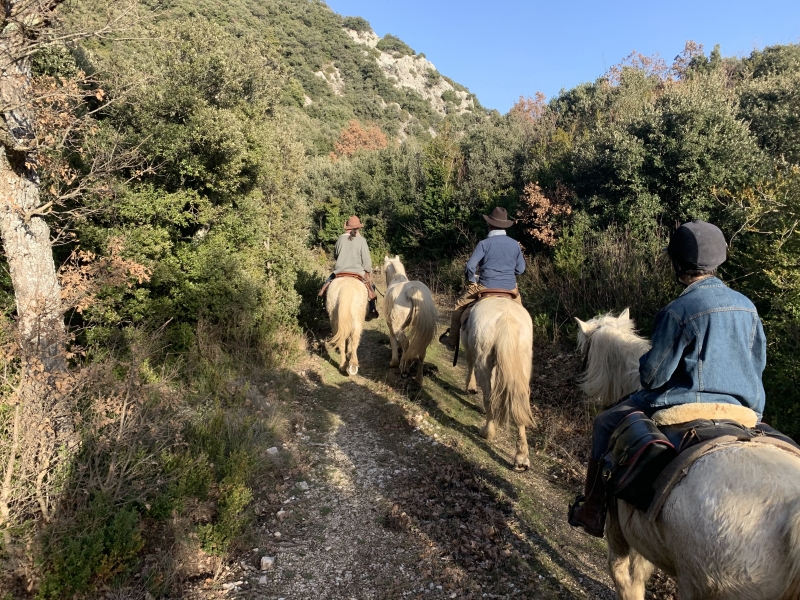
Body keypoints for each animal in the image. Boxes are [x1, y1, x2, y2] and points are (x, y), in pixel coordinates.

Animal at [382, 254, 438, 384]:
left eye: (385, 272)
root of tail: (411, 290)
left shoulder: (391, 325)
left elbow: (393, 340)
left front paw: (394, 361)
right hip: (423, 332)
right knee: (421, 351)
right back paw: (418, 379)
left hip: (397, 326)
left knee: (406, 342)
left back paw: (404, 368)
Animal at [460, 298, 536, 472]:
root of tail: (505, 319)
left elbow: (469, 362)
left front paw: (470, 387)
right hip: (523, 364)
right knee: (519, 402)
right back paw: (521, 458)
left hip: (484, 361)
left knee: (489, 396)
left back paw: (487, 431)